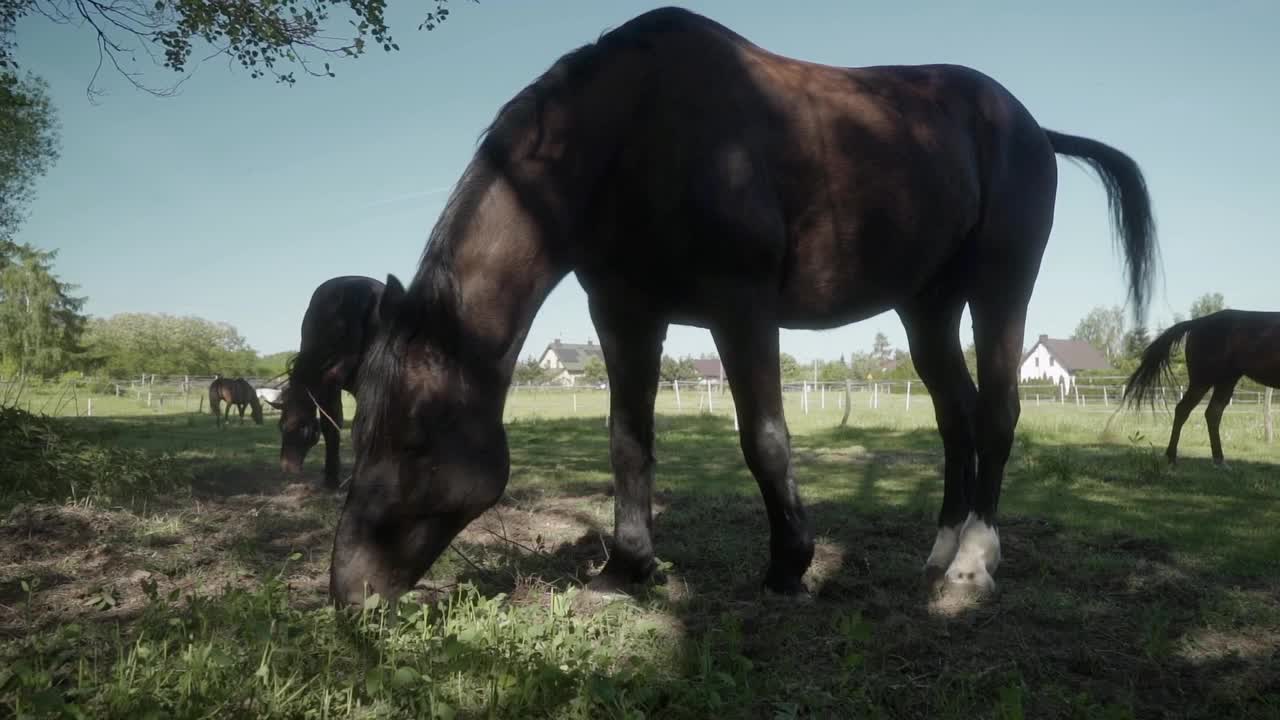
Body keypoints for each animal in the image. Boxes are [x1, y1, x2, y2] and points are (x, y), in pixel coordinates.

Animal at [275, 274, 384, 486]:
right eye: (281, 425)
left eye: (303, 428)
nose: (287, 468)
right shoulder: (330, 387)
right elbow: (331, 427)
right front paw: (331, 476)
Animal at [322, 8, 1162, 607]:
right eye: (359, 429)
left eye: (416, 438)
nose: (348, 593)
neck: (632, 132)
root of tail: (1031, 126)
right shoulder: (624, 314)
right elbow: (627, 441)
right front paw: (625, 571)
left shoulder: (741, 307)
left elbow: (765, 439)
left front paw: (789, 566)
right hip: (926, 306)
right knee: (955, 417)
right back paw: (938, 555)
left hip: (998, 288)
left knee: (995, 413)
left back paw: (973, 568)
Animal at [1126, 307, 1274, 466]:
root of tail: (1197, 322)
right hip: (1204, 381)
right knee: (1185, 410)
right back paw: (1173, 457)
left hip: (1225, 380)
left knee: (1212, 413)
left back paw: (1219, 461)